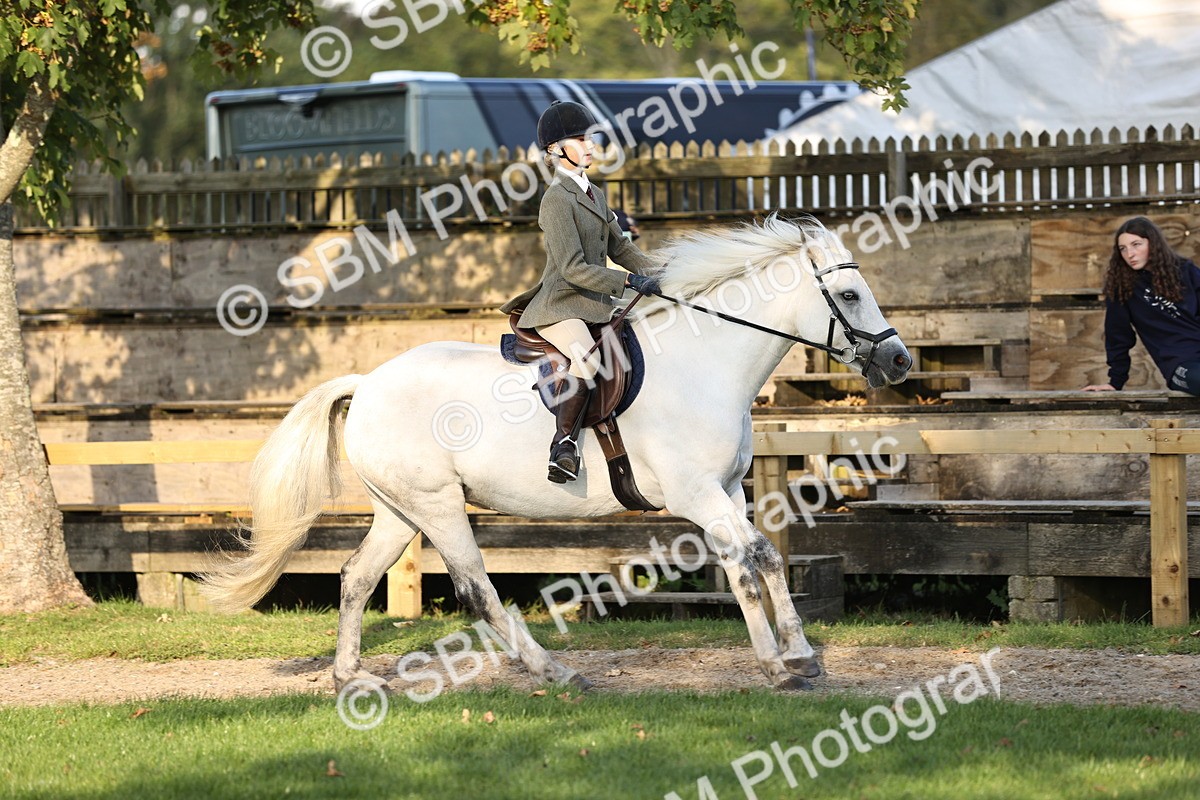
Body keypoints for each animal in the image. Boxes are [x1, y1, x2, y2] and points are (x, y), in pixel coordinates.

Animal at [201, 214, 912, 693]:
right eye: (850, 295)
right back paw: (554, 669)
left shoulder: (728, 490)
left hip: (400, 510)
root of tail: (368, 381)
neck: (704, 363)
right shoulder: (695, 495)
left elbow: (756, 562)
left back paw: (351, 676)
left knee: (356, 576)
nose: (900, 361)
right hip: (438, 506)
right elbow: (755, 557)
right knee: (476, 588)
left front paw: (798, 655)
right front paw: (780, 663)